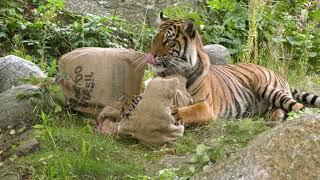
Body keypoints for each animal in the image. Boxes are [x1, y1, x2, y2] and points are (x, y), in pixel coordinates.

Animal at [125, 12, 320, 124]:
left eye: (168, 41)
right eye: (155, 39)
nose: (150, 57)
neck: (173, 71)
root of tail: (277, 73)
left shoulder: (206, 106)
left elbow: (191, 110)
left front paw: (174, 114)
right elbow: (137, 96)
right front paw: (127, 106)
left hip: (269, 88)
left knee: (299, 108)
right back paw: (274, 117)